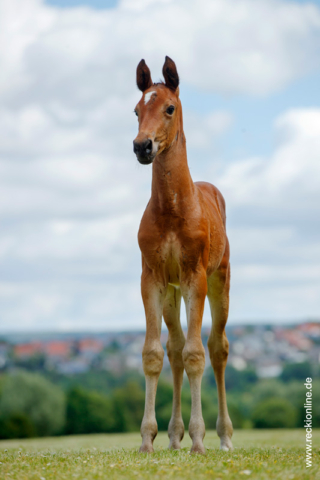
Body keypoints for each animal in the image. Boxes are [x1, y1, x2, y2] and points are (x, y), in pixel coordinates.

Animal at [132, 56, 232, 454]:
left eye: (169, 108)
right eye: (137, 110)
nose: (142, 146)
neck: (172, 210)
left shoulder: (195, 277)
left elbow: (195, 354)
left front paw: (199, 440)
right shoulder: (152, 279)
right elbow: (155, 353)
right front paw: (148, 439)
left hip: (220, 281)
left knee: (217, 348)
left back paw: (223, 436)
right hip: (172, 294)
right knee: (173, 349)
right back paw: (173, 437)